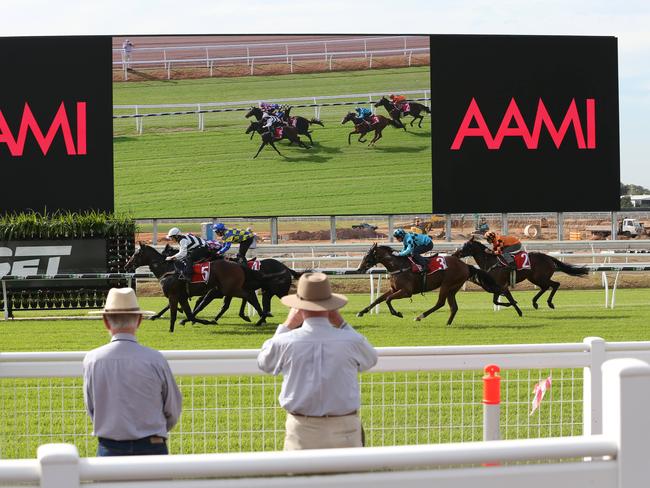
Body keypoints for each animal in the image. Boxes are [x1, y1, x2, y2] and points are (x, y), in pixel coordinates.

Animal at [125, 244, 270, 332]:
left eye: (136, 254)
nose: (127, 265)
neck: (167, 269)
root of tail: (238, 265)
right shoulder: (182, 296)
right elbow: (189, 313)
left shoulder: (174, 295)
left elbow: (177, 312)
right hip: (228, 289)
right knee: (247, 296)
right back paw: (259, 317)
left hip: (229, 289)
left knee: (249, 295)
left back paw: (261, 316)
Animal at [354, 243, 516, 326]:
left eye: (368, 255)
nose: (359, 269)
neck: (398, 265)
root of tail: (465, 265)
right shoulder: (394, 289)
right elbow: (378, 299)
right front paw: (361, 312)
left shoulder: (406, 291)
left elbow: (388, 300)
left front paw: (397, 313)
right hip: (453, 288)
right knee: (453, 307)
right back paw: (447, 323)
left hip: (447, 285)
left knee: (440, 303)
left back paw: (420, 316)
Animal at [450, 236, 588, 308]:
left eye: (466, 245)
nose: (455, 254)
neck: (491, 261)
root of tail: (548, 257)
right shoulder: (497, 285)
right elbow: (495, 300)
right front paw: (511, 303)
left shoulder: (500, 283)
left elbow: (497, 300)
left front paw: (511, 303)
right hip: (534, 278)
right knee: (545, 287)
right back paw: (535, 302)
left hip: (540, 277)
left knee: (555, 285)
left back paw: (549, 303)